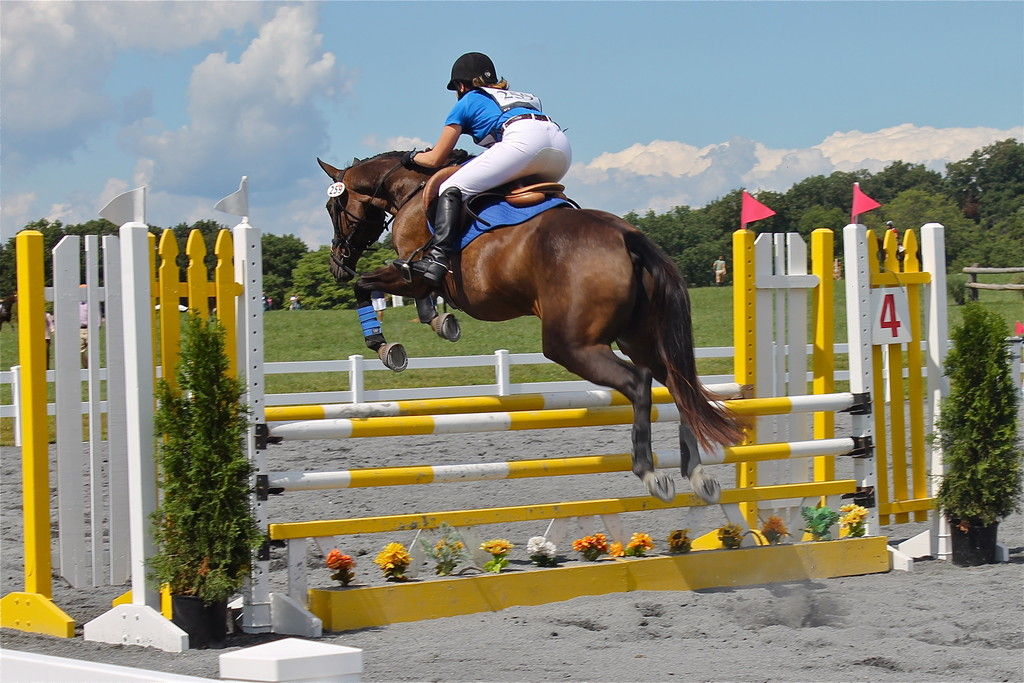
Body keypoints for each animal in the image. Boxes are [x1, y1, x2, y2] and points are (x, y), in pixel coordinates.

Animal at [315, 152, 741, 501]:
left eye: (333, 206)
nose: (337, 263)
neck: (410, 190)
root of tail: (628, 237)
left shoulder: (411, 272)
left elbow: (366, 286)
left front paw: (386, 347)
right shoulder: (417, 279)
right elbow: (416, 299)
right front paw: (440, 321)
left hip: (569, 345)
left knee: (638, 383)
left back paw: (650, 472)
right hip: (638, 339)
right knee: (677, 384)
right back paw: (696, 473)